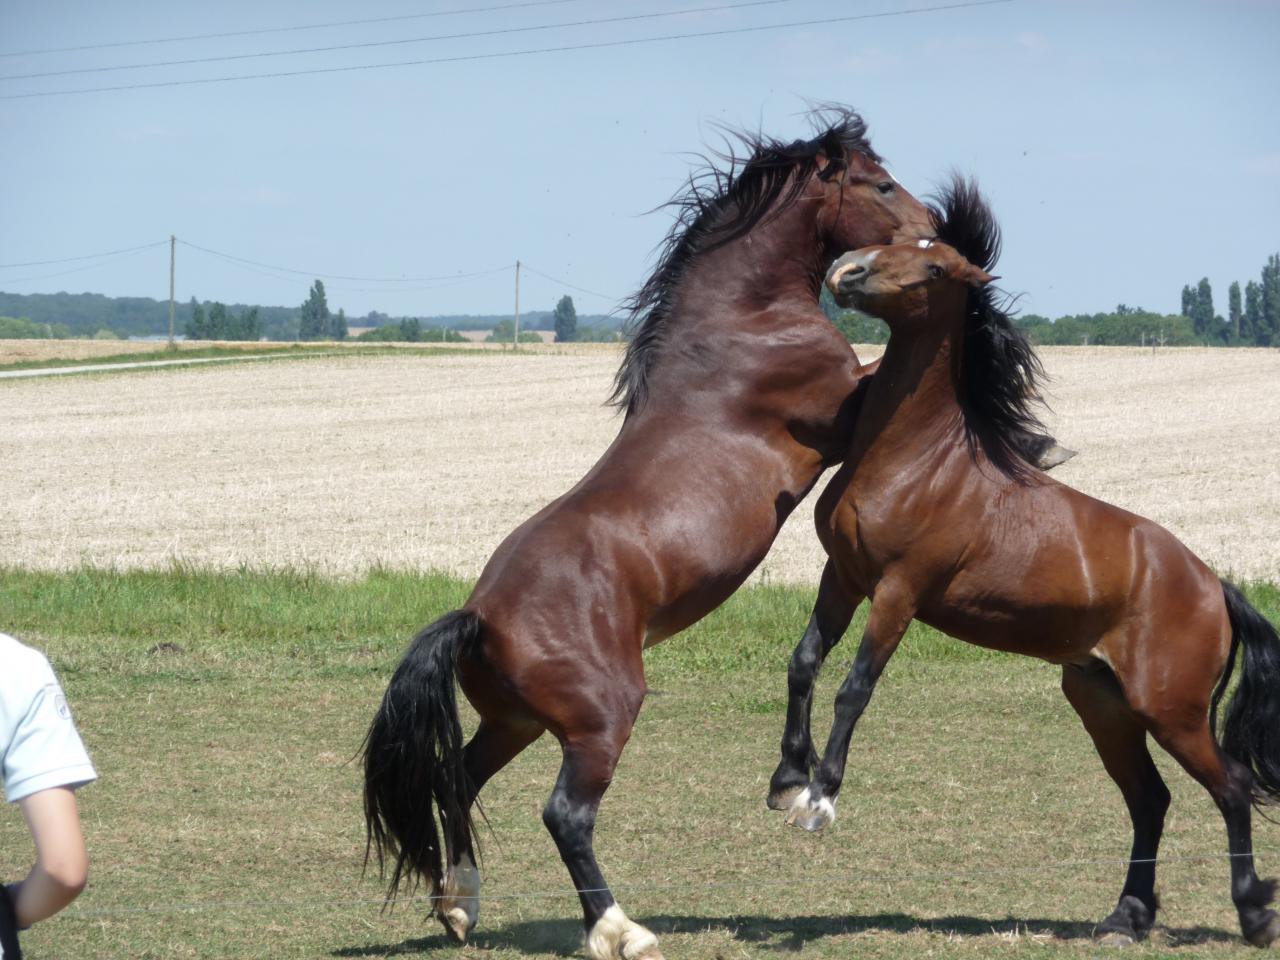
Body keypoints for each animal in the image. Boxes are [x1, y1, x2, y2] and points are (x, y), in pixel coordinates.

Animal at [773, 176, 1280, 952]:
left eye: (937, 268)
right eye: (898, 241)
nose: (848, 272)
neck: (916, 460)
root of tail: (1214, 587)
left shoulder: (898, 591)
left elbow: (854, 688)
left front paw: (822, 796)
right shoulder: (845, 576)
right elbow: (804, 662)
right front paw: (785, 776)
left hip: (1172, 712)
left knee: (1230, 788)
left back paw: (1254, 913)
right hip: (1102, 703)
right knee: (1151, 800)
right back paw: (1126, 917)